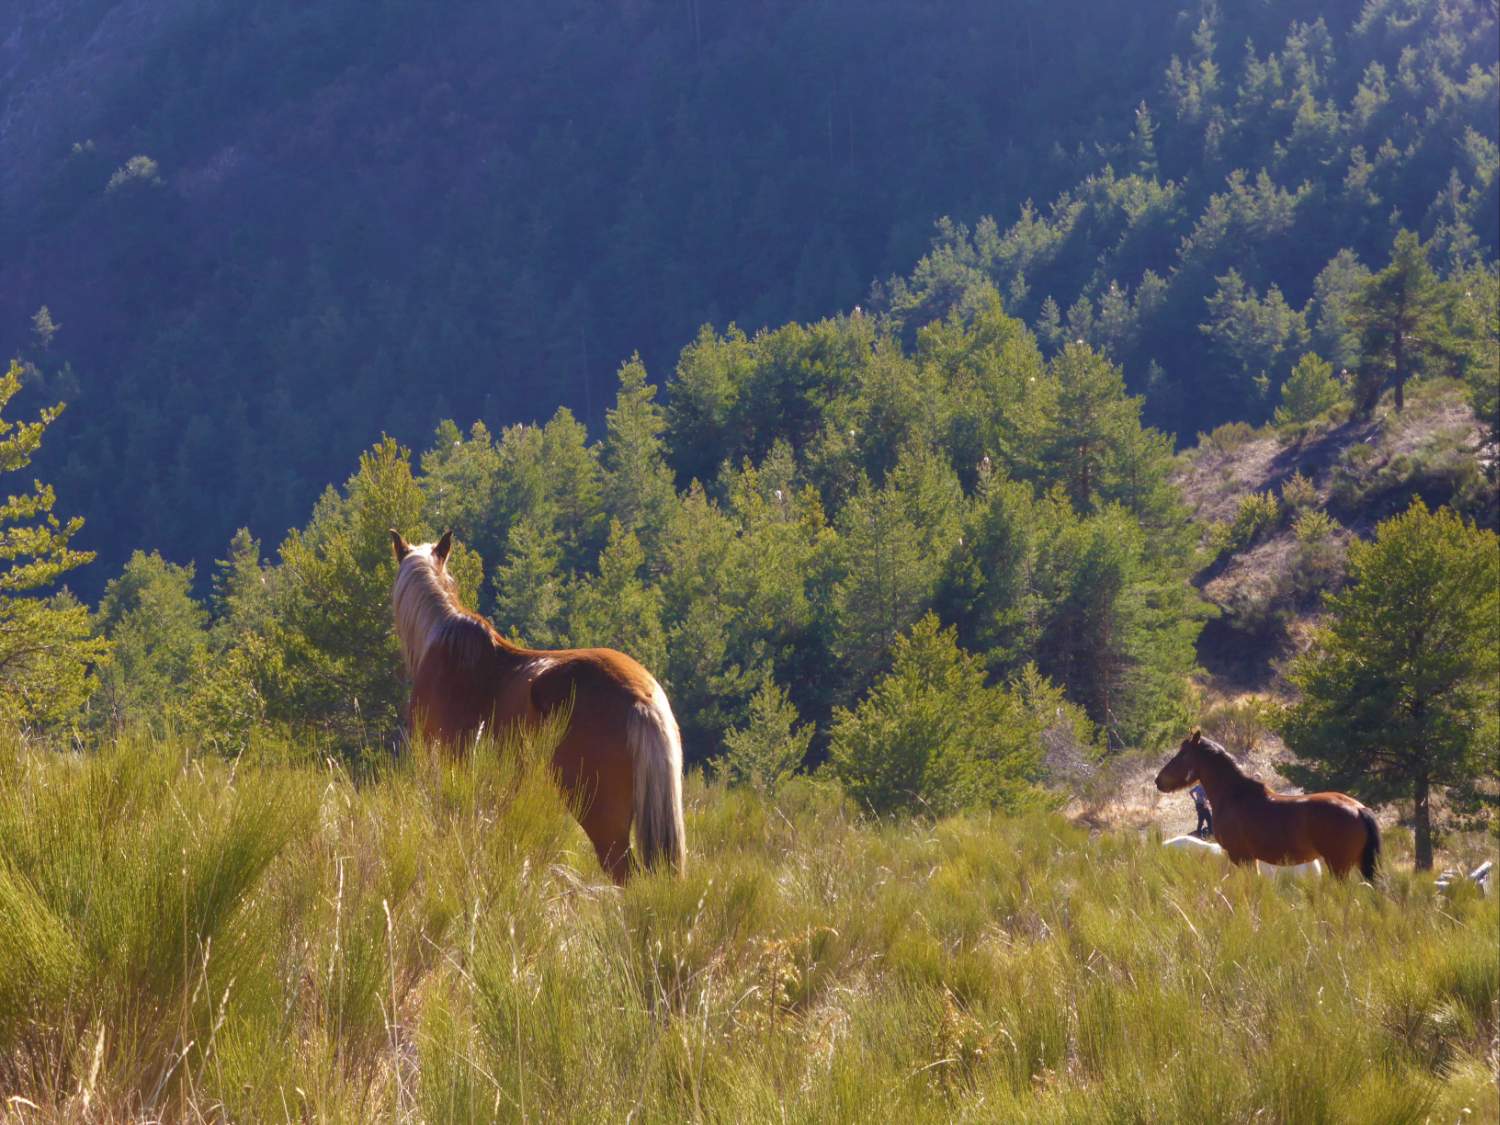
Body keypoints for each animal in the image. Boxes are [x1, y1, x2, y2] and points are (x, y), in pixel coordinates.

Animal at [1155, 730, 1379, 880]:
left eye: (1182, 754)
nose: (1158, 780)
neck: (1234, 796)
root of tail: (1358, 808)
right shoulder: (1249, 859)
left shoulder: (1241, 857)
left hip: (1339, 866)